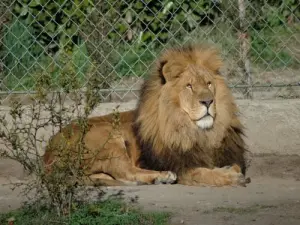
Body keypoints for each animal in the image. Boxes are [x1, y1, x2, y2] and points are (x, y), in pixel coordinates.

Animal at [43, 43, 251, 187]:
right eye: (189, 86)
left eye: (208, 83)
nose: (208, 101)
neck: (199, 132)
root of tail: (48, 154)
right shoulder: (180, 165)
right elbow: (202, 173)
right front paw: (230, 176)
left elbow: (231, 165)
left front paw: (229, 170)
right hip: (108, 138)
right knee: (126, 172)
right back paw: (162, 176)